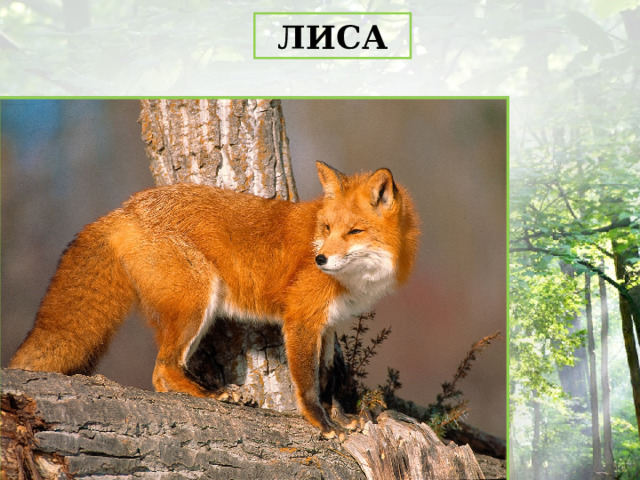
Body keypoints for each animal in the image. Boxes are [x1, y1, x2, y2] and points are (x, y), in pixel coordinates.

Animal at [10, 161, 420, 440]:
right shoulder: (302, 319)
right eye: (328, 228)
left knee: (167, 372)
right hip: (196, 304)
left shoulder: (330, 324)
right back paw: (214, 394)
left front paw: (343, 416)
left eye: (354, 231)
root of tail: (126, 208)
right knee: (162, 372)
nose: (319, 259)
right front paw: (322, 422)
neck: (359, 281)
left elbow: (330, 377)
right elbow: (308, 384)